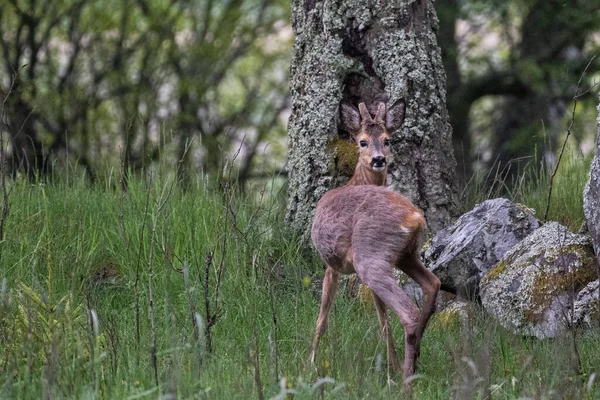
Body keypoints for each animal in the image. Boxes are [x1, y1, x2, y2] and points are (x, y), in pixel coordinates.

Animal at [310, 100, 440, 384]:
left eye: (387, 140)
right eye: (362, 142)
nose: (379, 159)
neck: (353, 181)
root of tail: (415, 216)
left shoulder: (332, 264)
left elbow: (323, 315)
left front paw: (309, 364)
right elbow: (382, 319)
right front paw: (391, 366)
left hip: (369, 255)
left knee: (409, 312)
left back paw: (406, 382)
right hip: (404, 255)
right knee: (433, 284)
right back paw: (413, 364)